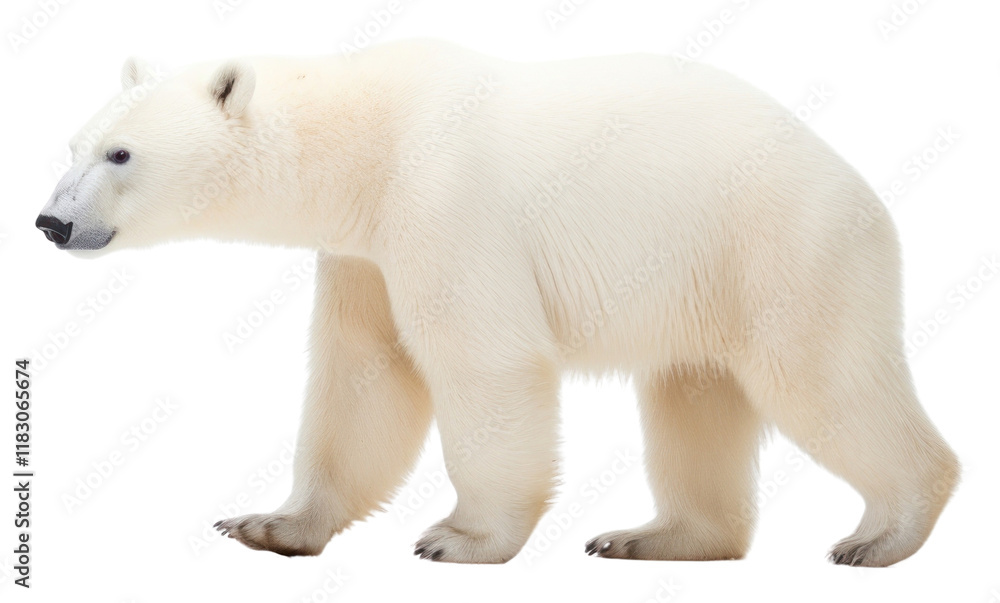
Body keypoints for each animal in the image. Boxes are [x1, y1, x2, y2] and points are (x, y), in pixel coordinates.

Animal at [36, 39, 959, 566]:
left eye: (121, 153)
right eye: (73, 144)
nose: (50, 220)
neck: (368, 140)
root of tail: (865, 193)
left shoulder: (443, 201)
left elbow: (481, 362)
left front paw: (460, 537)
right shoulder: (365, 249)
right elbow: (365, 375)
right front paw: (272, 523)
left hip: (778, 246)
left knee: (821, 377)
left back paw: (883, 532)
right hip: (706, 275)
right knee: (691, 396)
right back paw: (651, 536)